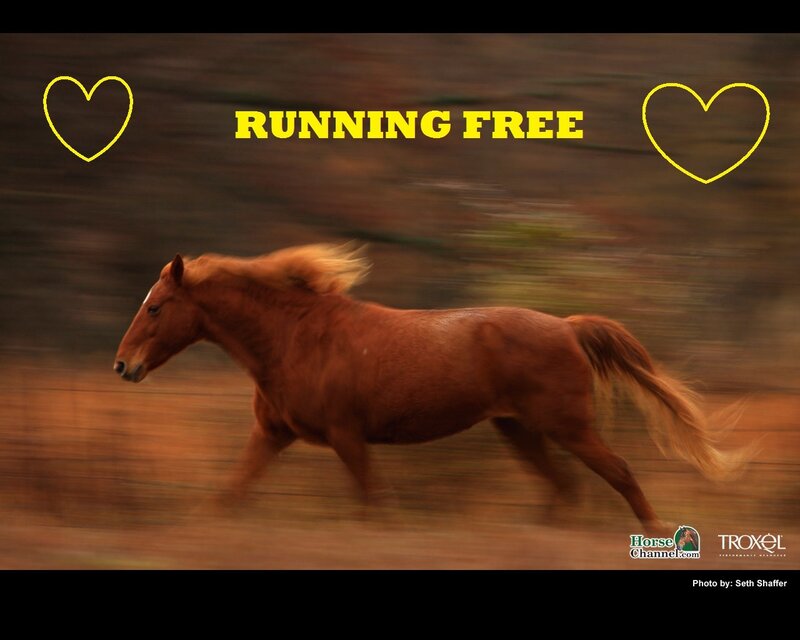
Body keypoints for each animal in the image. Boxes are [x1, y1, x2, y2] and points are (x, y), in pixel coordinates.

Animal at [114, 243, 746, 535]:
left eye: (156, 307)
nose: (123, 366)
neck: (293, 336)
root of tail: (568, 325)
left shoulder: (347, 436)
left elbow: (377, 505)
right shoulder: (273, 434)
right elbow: (229, 493)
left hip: (567, 427)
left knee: (617, 474)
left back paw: (657, 533)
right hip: (520, 431)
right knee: (564, 489)